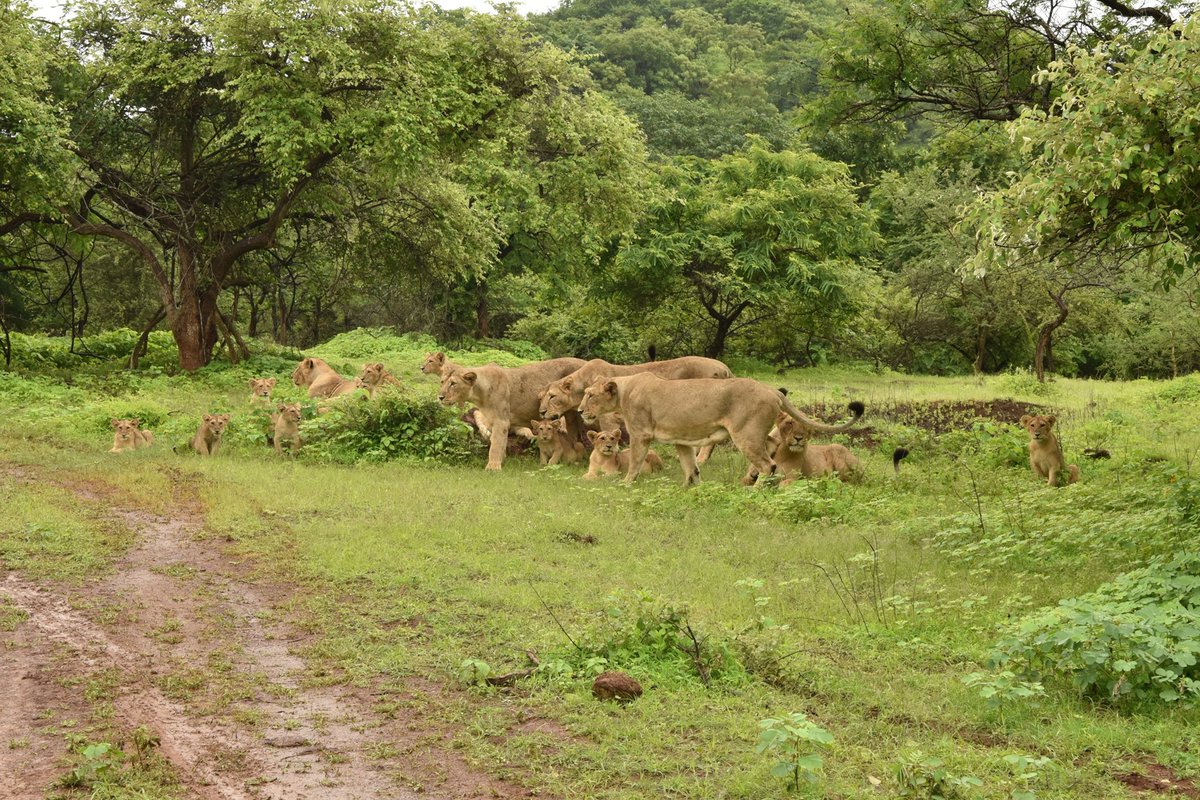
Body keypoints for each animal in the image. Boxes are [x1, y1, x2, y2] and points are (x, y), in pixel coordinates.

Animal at [438, 357, 586, 470]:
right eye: (442, 382)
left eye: (453, 384)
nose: (440, 397)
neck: (479, 394)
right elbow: (500, 442)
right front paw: (502, 461)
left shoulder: (501, 420)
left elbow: (496, 444)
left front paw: (493, 467)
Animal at [578, 373, 864, 486]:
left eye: (590, 395)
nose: (580, 411)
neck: (625, 389)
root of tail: (772, 390)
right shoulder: (682, 440)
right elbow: (691, 467)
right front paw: (691, 489)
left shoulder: (641, 433)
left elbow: (635, 461)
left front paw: (626, 484)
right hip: (760, 434)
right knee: (772, 451)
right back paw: (750, 480)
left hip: (745, 433)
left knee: (768, 465)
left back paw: (754, 490)